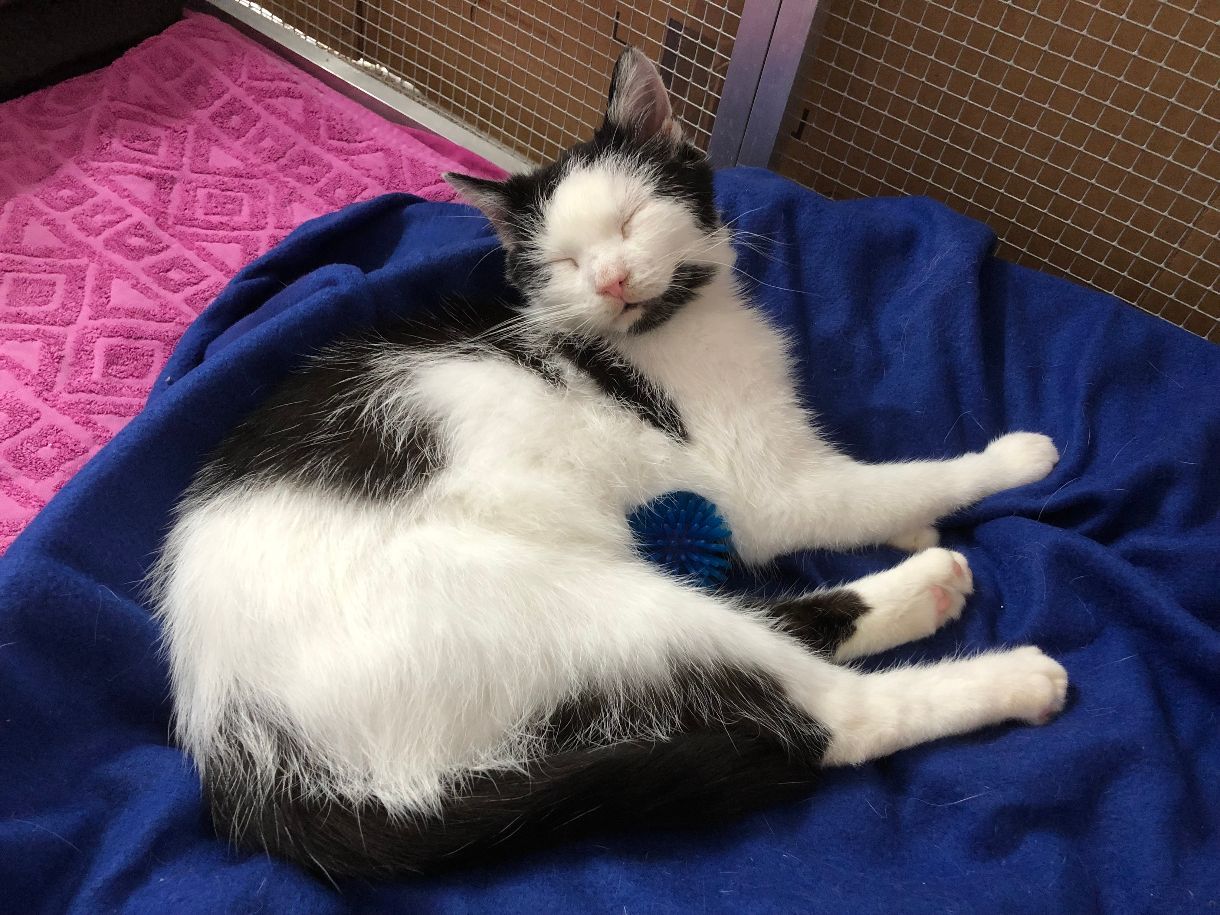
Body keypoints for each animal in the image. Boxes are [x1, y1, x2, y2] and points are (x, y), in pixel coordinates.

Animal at [150, 47, 1068, 879]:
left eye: (631, 220)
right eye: (561, 262)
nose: (614, 279)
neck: (674, 326)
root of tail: (232, 738)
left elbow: (875, 498)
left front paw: (920, 527)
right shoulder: (764, 487)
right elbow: (877, 485)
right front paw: (1014, 459)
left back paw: (929, 583)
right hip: (575, 605)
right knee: (819, 712)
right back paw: (1006, 669)